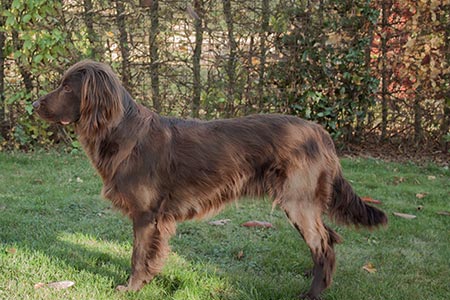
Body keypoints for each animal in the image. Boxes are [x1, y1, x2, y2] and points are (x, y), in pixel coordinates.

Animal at [34, 59, 386, 298]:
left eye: (67, 87)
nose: (34, 103)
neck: (122, 132)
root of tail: (320, 132)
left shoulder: (146, 214)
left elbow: (137, 255)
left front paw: (132, 287)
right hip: (305, 201)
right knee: (329, 239)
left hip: (298, 200)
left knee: (323, 244)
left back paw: (311, 293)